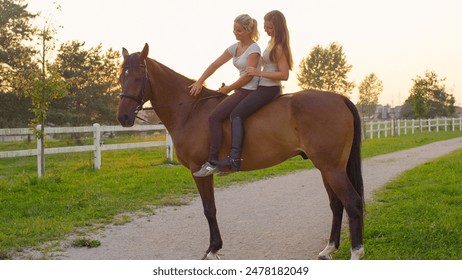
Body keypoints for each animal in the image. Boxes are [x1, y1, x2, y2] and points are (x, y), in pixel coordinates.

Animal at [116, 43, 364, 260]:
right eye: (121, 78)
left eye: (138, 78)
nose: (123, 117)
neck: (191, 110)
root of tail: (340, 98)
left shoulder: (199, 171)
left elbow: (209, 209)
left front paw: (213, 249)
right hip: (327, 169)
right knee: (336, 204)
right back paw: (328, 249)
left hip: (331, 169)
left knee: (352, 202)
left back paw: (355, 253)